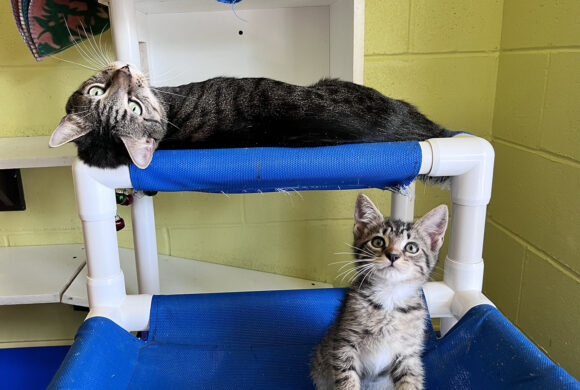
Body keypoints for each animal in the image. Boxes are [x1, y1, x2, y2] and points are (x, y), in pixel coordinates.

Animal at [310, 195, 446, 390]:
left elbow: (410, 380)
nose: (393, 255)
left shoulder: (408, 354)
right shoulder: (344, 344)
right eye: (378, 242)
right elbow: (347, 379)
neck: (389, 297)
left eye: (411, 247)